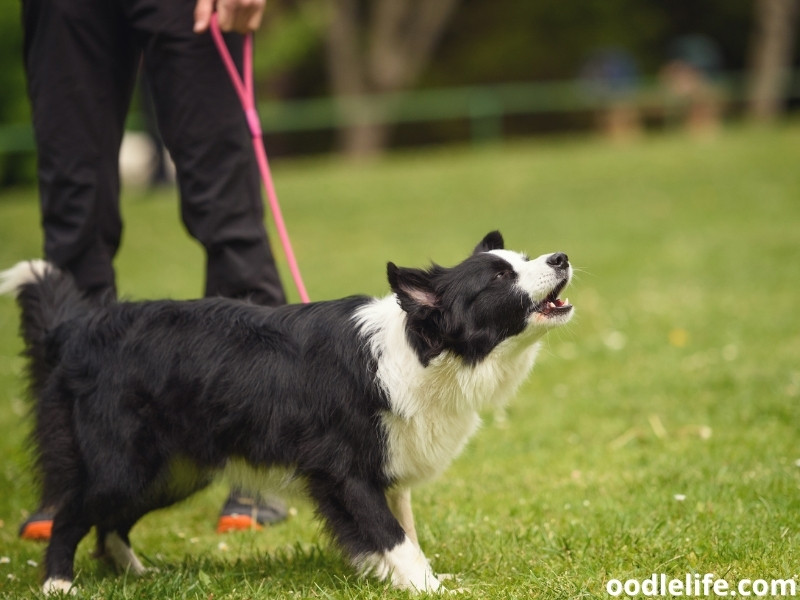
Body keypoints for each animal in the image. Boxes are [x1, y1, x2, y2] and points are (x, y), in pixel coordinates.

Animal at [1, 232, 576, 592]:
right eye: (498, 277)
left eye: (526, 258)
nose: (562, 258)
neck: (424, 351)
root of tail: (78, 328)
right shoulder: (344, 471)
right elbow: (393, 535)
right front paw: (427, 585)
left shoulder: (388, 467)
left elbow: (403, 530)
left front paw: (409, 579)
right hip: (124, 463)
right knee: (71, 513)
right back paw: (58, 583)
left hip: (173, 471)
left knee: (110, 525)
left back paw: (138, 576)